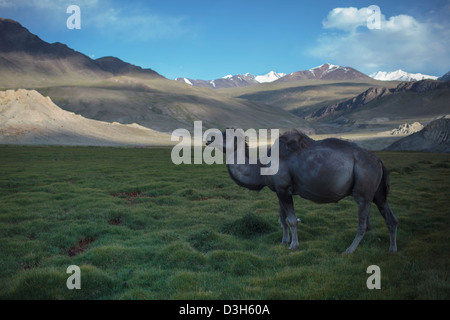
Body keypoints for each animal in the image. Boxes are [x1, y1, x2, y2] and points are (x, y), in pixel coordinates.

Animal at [206, 129, 400, 254]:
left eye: (226, 134)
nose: (208, 138)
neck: (262, 167)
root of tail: (379, 160)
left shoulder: (284, 189)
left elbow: (291, 220)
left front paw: (293, 246)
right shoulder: (278, 190)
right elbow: (282, 219)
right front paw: (284, 241)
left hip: (363, 190)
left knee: (363, 224)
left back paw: (349, 250)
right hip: (377, 193)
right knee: (389, 217)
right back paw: (392, 249)